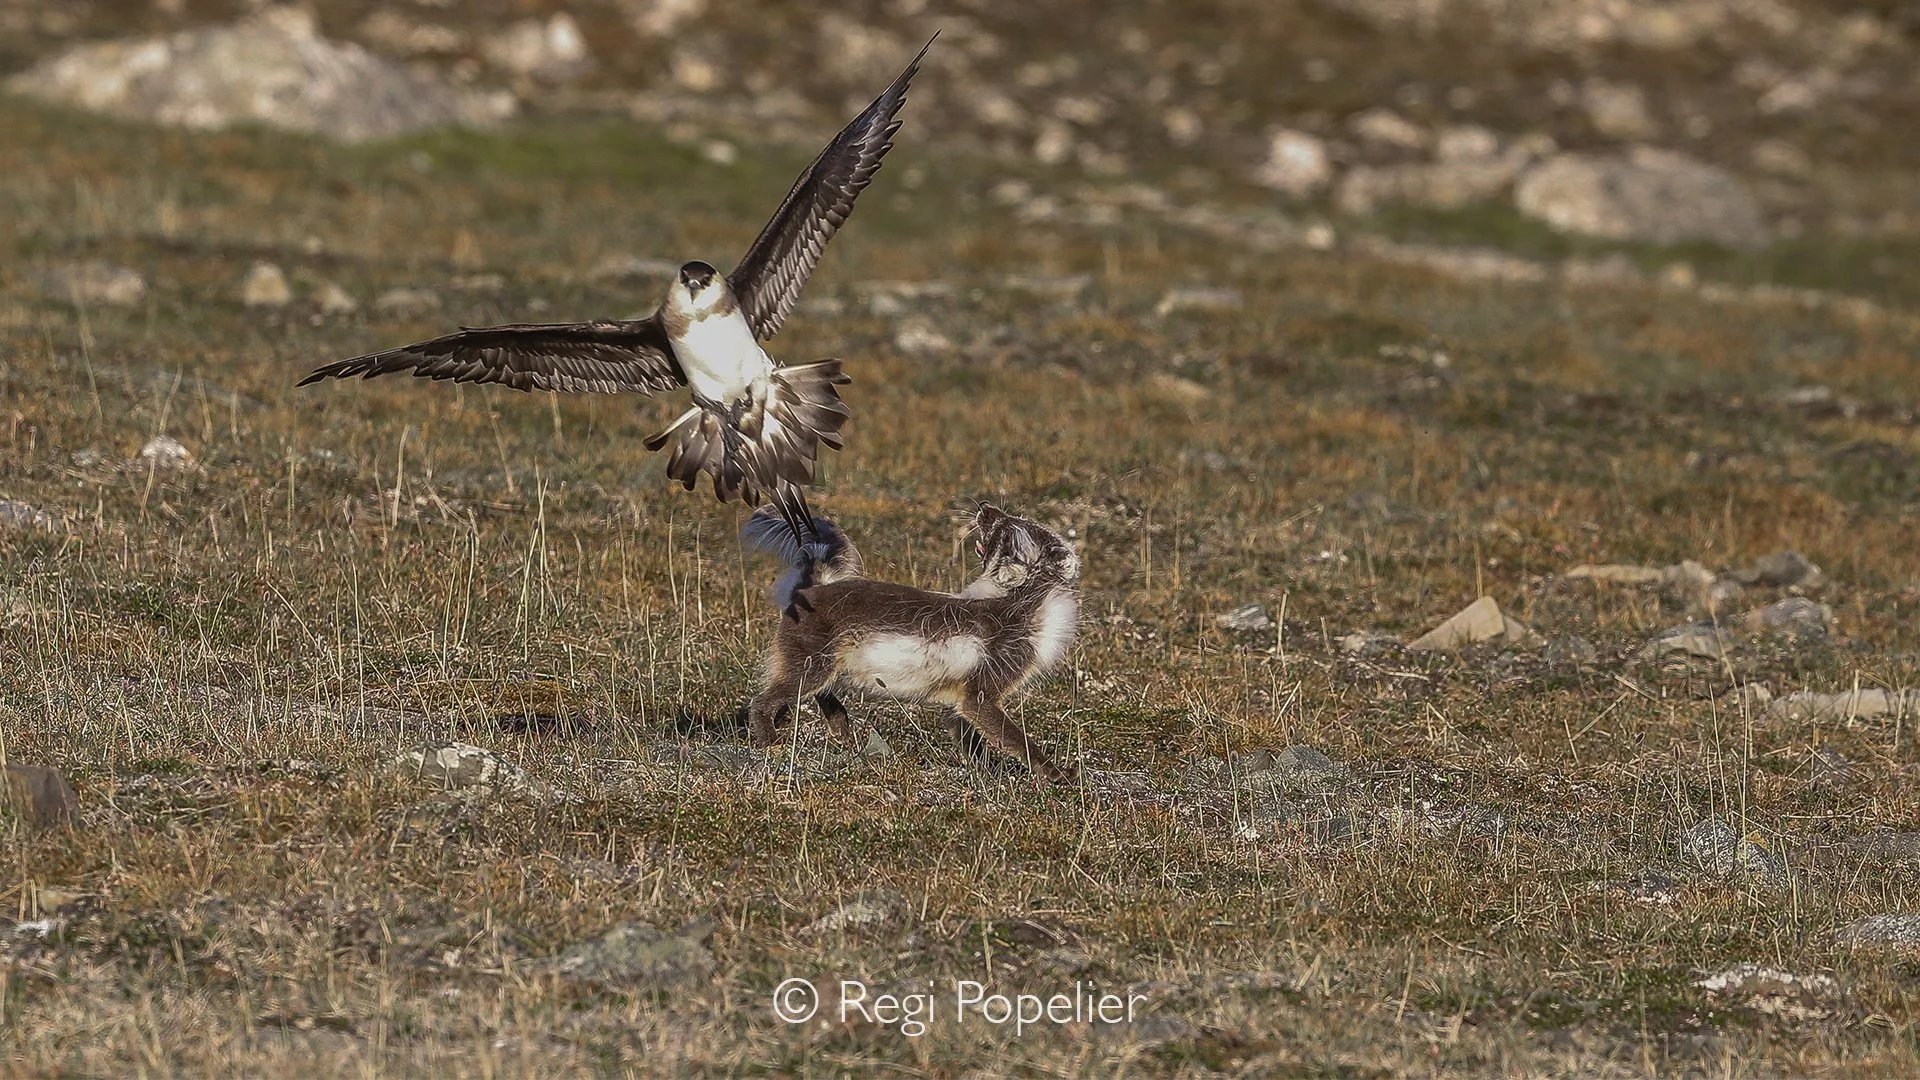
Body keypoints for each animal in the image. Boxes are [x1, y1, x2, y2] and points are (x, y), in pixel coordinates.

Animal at [739, 503, 1081, 784]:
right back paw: (772, 741)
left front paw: (987, 770)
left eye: (1008, 528)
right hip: (812, 662)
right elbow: (1010, 733)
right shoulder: (987, 683)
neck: (1018, 602)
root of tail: (807, 590)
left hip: (825, 664)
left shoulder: (958, 698)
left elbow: (970, 737)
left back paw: (843, 730)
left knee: (816, 694)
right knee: (765, 700)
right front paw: (1055, 773)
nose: (984, 506)